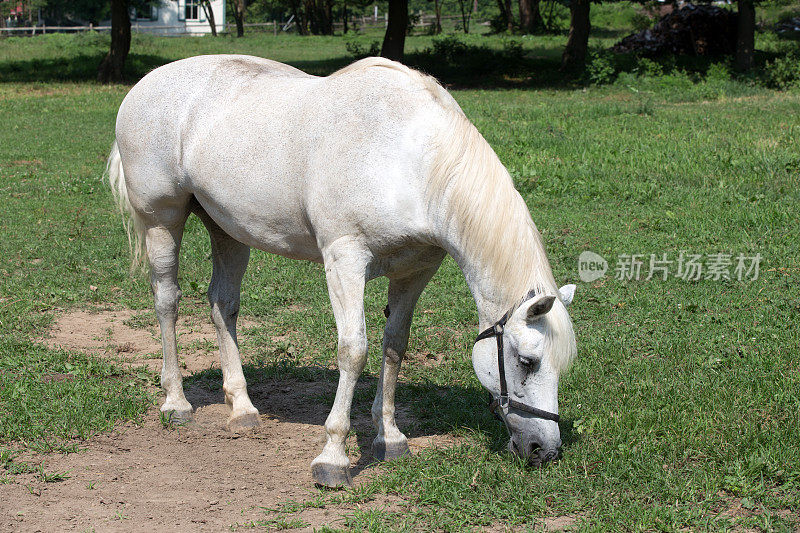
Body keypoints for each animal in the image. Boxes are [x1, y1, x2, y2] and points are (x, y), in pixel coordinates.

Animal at [108, 55, 576, 486]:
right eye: (527, 361)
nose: (545, 450)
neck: (410, 158)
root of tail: (143, 86)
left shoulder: (414, 272)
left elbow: (394, 346)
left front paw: (390, 437)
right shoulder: (345, 261)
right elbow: (353, 350)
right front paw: (332, 458)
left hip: (227, 229)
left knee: (223, 305)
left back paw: (241, 408)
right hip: (161, 221)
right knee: (167, 301)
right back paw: (176, 403)